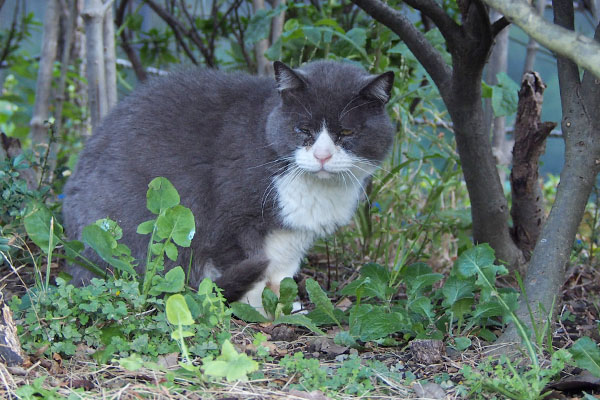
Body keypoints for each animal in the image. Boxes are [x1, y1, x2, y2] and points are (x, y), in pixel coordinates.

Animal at [63, 60, 396, 310]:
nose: (323, 156)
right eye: (303, 129)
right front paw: (257, 307)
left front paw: (284, 305)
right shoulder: (230, 223)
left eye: (347, 132)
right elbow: (248, 266)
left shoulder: (294, 235)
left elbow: (283, 272)